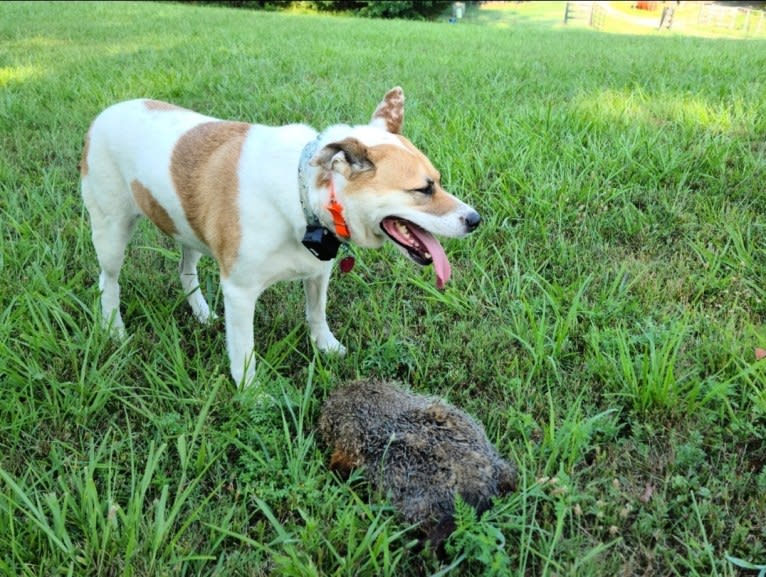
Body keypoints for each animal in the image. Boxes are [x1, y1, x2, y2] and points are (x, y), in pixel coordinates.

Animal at [79, 88, 480, 384]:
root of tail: (104, 114)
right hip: (111, 230)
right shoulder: (239, 292)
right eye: (423, 190)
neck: (303, 190)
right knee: (108, 280)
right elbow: (244, 351)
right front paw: (250, 393)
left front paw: (326, 346)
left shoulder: (318, 271)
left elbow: (316, 313)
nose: (475, 219)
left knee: (185, 268)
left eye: (437, 181)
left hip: (188, 226)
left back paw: (201, 312)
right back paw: (113, 328)